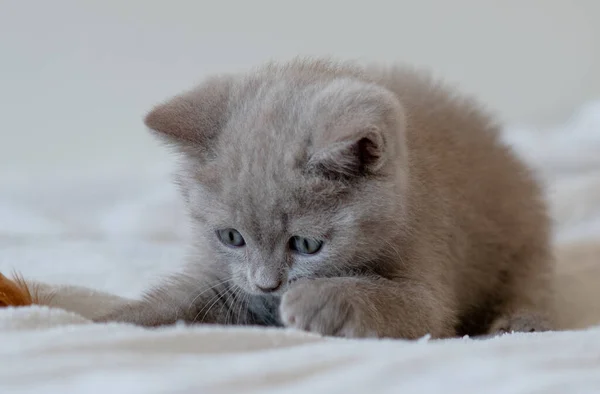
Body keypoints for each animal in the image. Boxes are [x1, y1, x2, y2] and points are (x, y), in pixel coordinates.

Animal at [96, 58, 556, 338]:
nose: (268, 284)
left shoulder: (428, 272)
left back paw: (520, 324)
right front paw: (108, 322)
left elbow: (391, 299)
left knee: (530, 285)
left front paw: (314, 300)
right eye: (231, 237)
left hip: (521, 240)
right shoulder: (221, 275)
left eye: (305, 244)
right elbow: (177, 301)